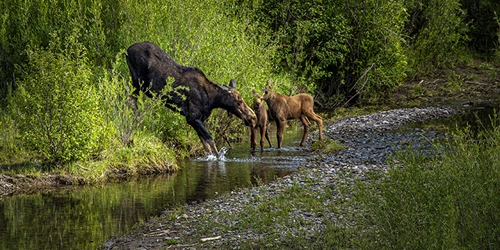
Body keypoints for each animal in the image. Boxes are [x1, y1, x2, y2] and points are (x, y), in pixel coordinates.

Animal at [125, 42, 258, 157]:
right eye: (239, 102)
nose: (253, 118)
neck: (212, 100)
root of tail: (127, 49)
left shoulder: (198, 120)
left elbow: (206, 146)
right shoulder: (192, 118)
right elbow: (211, 142)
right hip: (138, 81)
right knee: (130, 99)